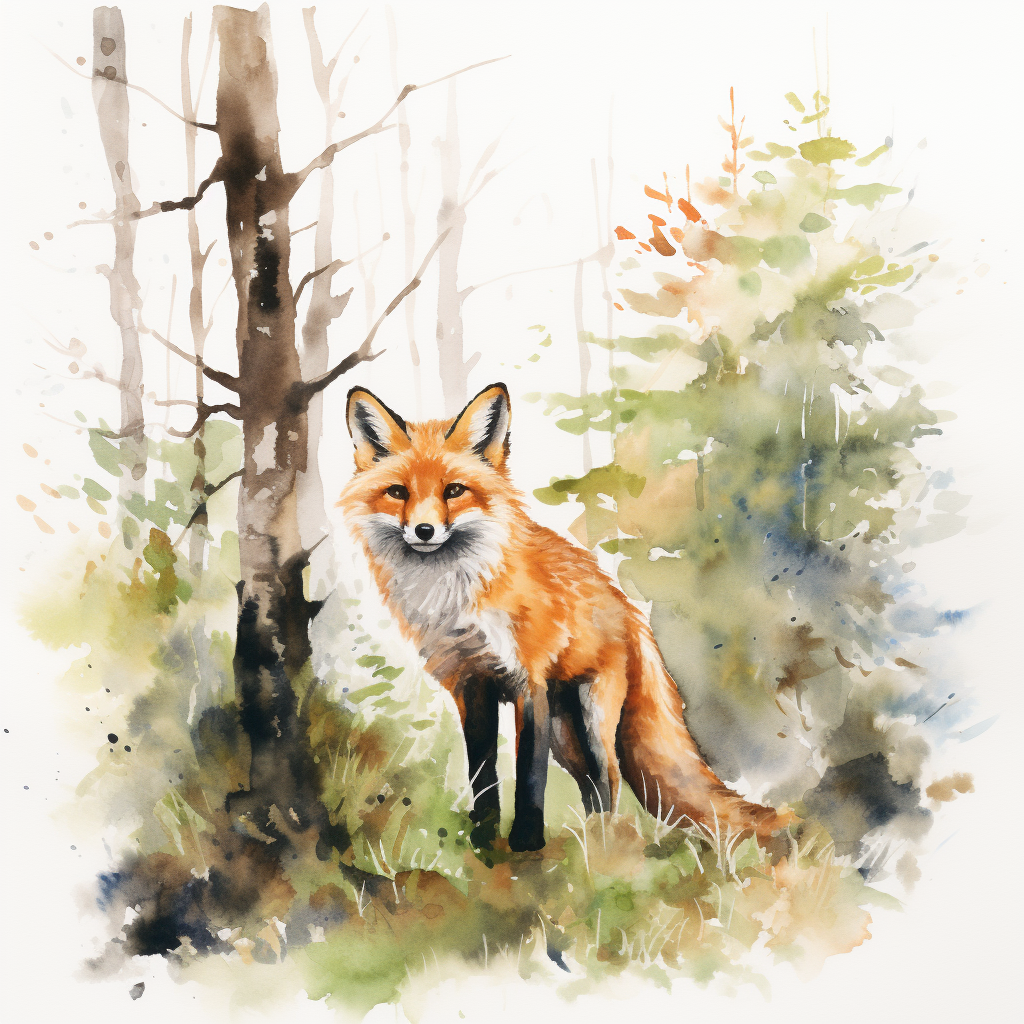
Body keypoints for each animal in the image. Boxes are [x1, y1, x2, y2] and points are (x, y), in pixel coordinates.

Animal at [339, 382, 793, 852]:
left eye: (454, 491)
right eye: (398, 492)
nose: (424, 531)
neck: (455, 592)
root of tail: (629, 609)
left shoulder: (529, 682)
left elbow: (528, 776)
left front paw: (525, 840)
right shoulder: (471, 685)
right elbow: (482, 774)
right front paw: (483, 839)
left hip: (592, 720)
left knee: (608, 780)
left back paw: (604, 845)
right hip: (566, 737)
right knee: (591, 786)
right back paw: (590, 839)